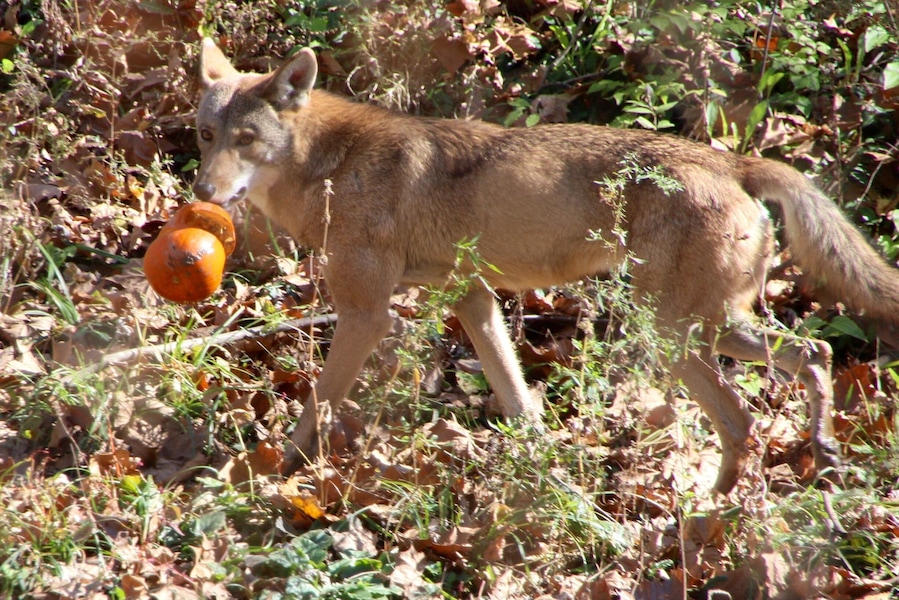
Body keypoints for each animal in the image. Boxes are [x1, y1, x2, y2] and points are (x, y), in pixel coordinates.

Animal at [193, 38, 899, 494]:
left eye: (247, 141)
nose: (202, 191)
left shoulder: (364, 315)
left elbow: (315, 407)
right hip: (708, 330)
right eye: (207, 136)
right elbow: (518, 399)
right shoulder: (475, 301)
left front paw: (272, 476)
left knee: (752, 409)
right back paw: (779, 478)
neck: (334, 167)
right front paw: (542, 473)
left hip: (671, 333)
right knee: (805, 364)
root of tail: (734, 161)